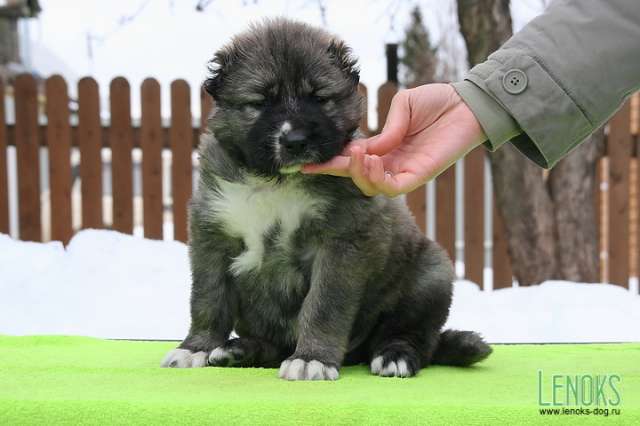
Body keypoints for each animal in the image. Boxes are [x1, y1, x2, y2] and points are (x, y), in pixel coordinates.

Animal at [161, 18, 490, 382]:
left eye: (319, 98)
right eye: (260, 102)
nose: (295, 140)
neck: (276, 181)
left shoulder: (340, 241)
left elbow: (324, 304)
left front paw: (312, 358)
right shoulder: (212, 235)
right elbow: (207, 298)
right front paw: (196, 348)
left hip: (431, 274)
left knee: (415, 334)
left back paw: (396, 355)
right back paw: (240, 350)